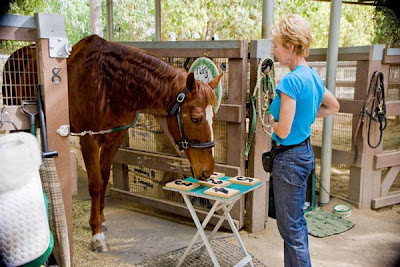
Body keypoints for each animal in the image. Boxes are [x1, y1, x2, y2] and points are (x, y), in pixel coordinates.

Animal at [66, 36, 222, 253]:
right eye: (196, 118)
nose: (208, 170)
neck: (105, 84)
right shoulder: (89, 139)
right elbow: (96, 185)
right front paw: (96, 235)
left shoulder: (114, 138)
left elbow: (104, 179)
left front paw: (101, 220)